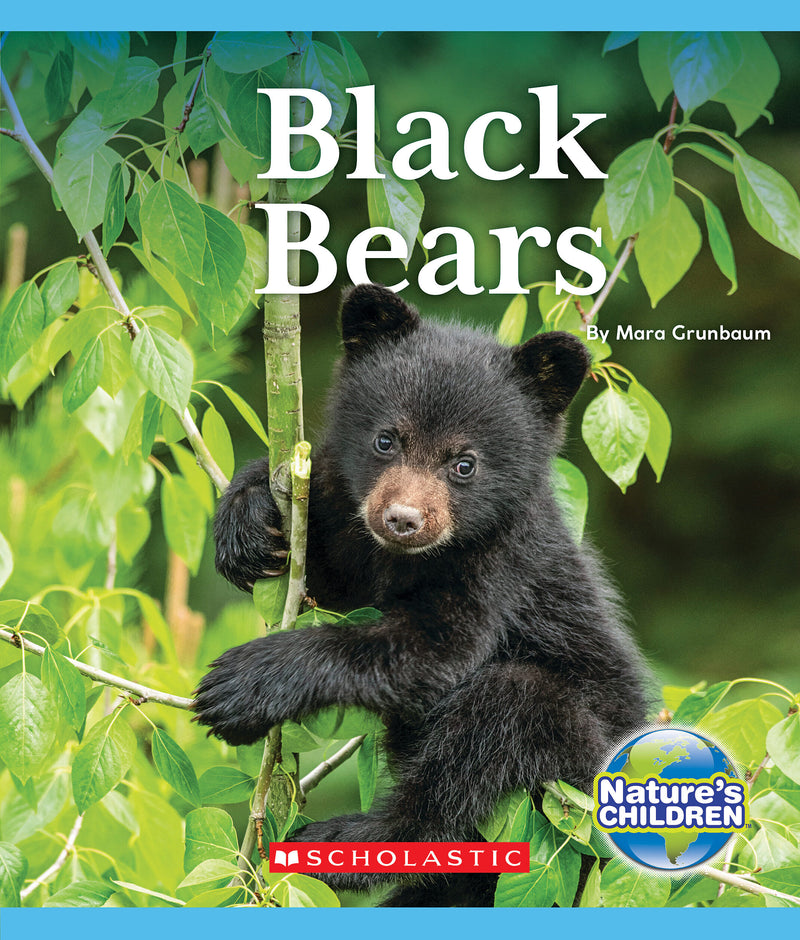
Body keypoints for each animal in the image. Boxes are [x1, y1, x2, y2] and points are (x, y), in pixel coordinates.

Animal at [194, 283, 650, 907]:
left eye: (464, 463)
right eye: (386, 439)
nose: (403, 519)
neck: (410, 558)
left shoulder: (498, 565)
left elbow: (434, 649)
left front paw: (243, 685)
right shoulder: (357, 537)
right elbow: (329, 573)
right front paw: (247, 518)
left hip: (584, 777)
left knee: (491, 728)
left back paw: (348, 843)